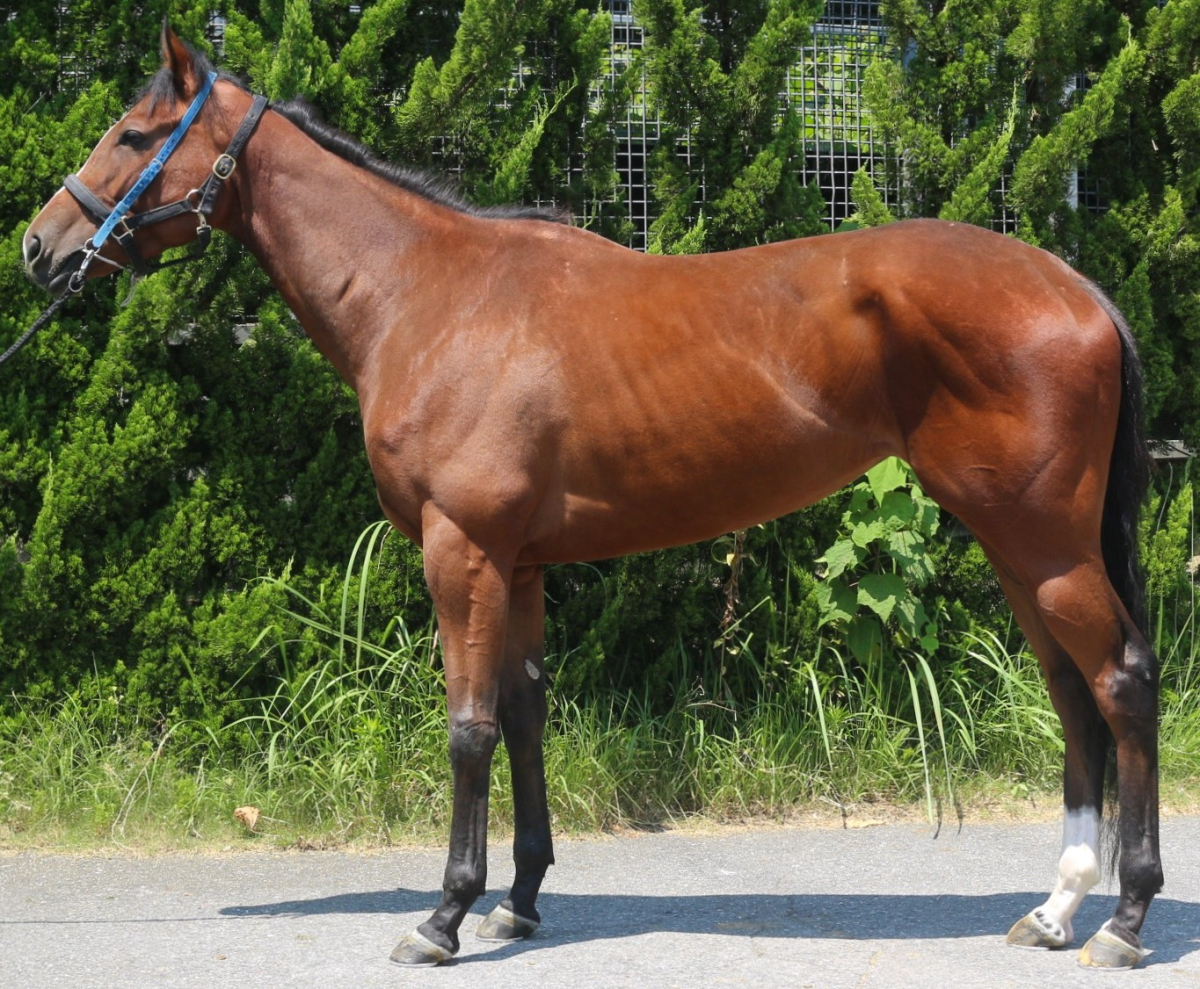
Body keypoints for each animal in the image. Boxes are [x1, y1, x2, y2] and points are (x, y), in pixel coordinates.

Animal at [22, 24, 1162, 971]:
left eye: (133, 134)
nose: (40, 248)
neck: (429, 295)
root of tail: (1078, 287)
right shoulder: (518, 564)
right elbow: (527, 714)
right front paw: (518, 900)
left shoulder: (462, 551)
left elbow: (470, 726)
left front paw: (443, 914)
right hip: (1018, 545)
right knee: (1072, 693)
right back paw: (1056, 908)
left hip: (1043, 543)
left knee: (1121, 681)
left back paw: (1123, 917)